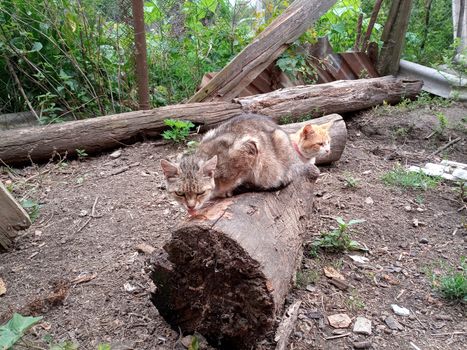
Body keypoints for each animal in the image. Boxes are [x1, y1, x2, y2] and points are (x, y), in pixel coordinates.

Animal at [159, 113, 306, 215]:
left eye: (200, 193)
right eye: (180, 193)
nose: (190, 206)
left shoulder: (250, 151)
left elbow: (241, 177)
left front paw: (229, 191)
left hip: (280, 144)